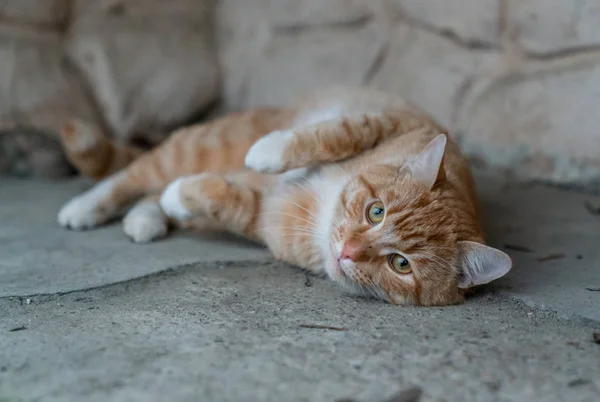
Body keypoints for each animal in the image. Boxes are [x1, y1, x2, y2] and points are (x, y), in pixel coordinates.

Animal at [58, 87, 512, 304]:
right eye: (376, 211)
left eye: (400, 264)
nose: (347, 251)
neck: (325, 207)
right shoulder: (391, 122)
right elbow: (332, 134)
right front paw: (268, 151)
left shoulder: (265, 218)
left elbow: (223, 199)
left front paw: (181, 197)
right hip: (197, 147)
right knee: (132, 174)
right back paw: (84, 207)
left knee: (154, 189)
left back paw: (146, 217)